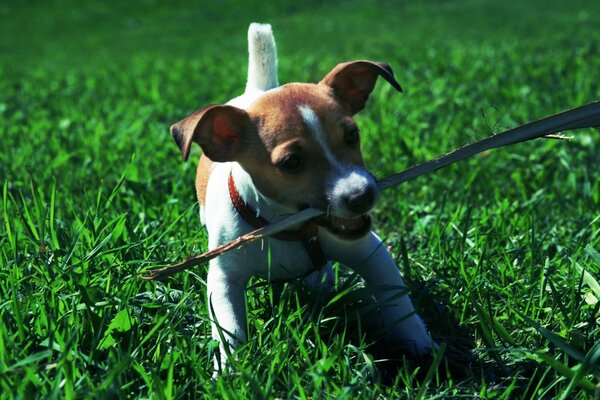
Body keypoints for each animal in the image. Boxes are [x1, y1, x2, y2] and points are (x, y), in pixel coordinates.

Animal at [171, 23, 434, 374]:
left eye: (352, 135)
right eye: (292, 162)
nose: (362, 195)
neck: (285, 226)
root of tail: (258, 91)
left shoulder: (370, 251)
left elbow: (398, 302)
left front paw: (421, 344)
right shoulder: (225, 278)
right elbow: (229, 327)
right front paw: (230, 371)